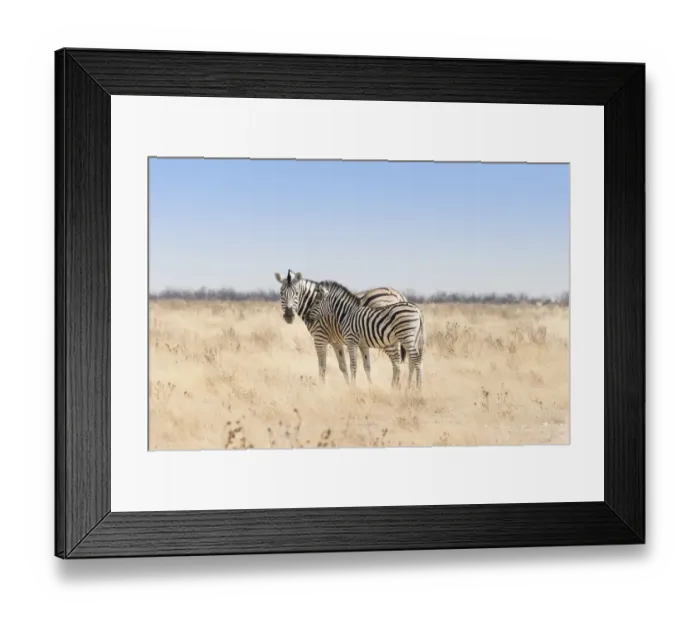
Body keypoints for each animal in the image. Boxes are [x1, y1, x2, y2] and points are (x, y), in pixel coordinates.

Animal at [274, 270, 407, 384]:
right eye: (281, 293)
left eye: (296, 293)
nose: (288, 315)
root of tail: (398, 294)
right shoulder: (335, 341)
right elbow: (343, 366)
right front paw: (348, 386)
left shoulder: (319, 337)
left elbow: (322, 366)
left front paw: (321, 387)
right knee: (397, 363)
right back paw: (396, 386)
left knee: (396, 363)